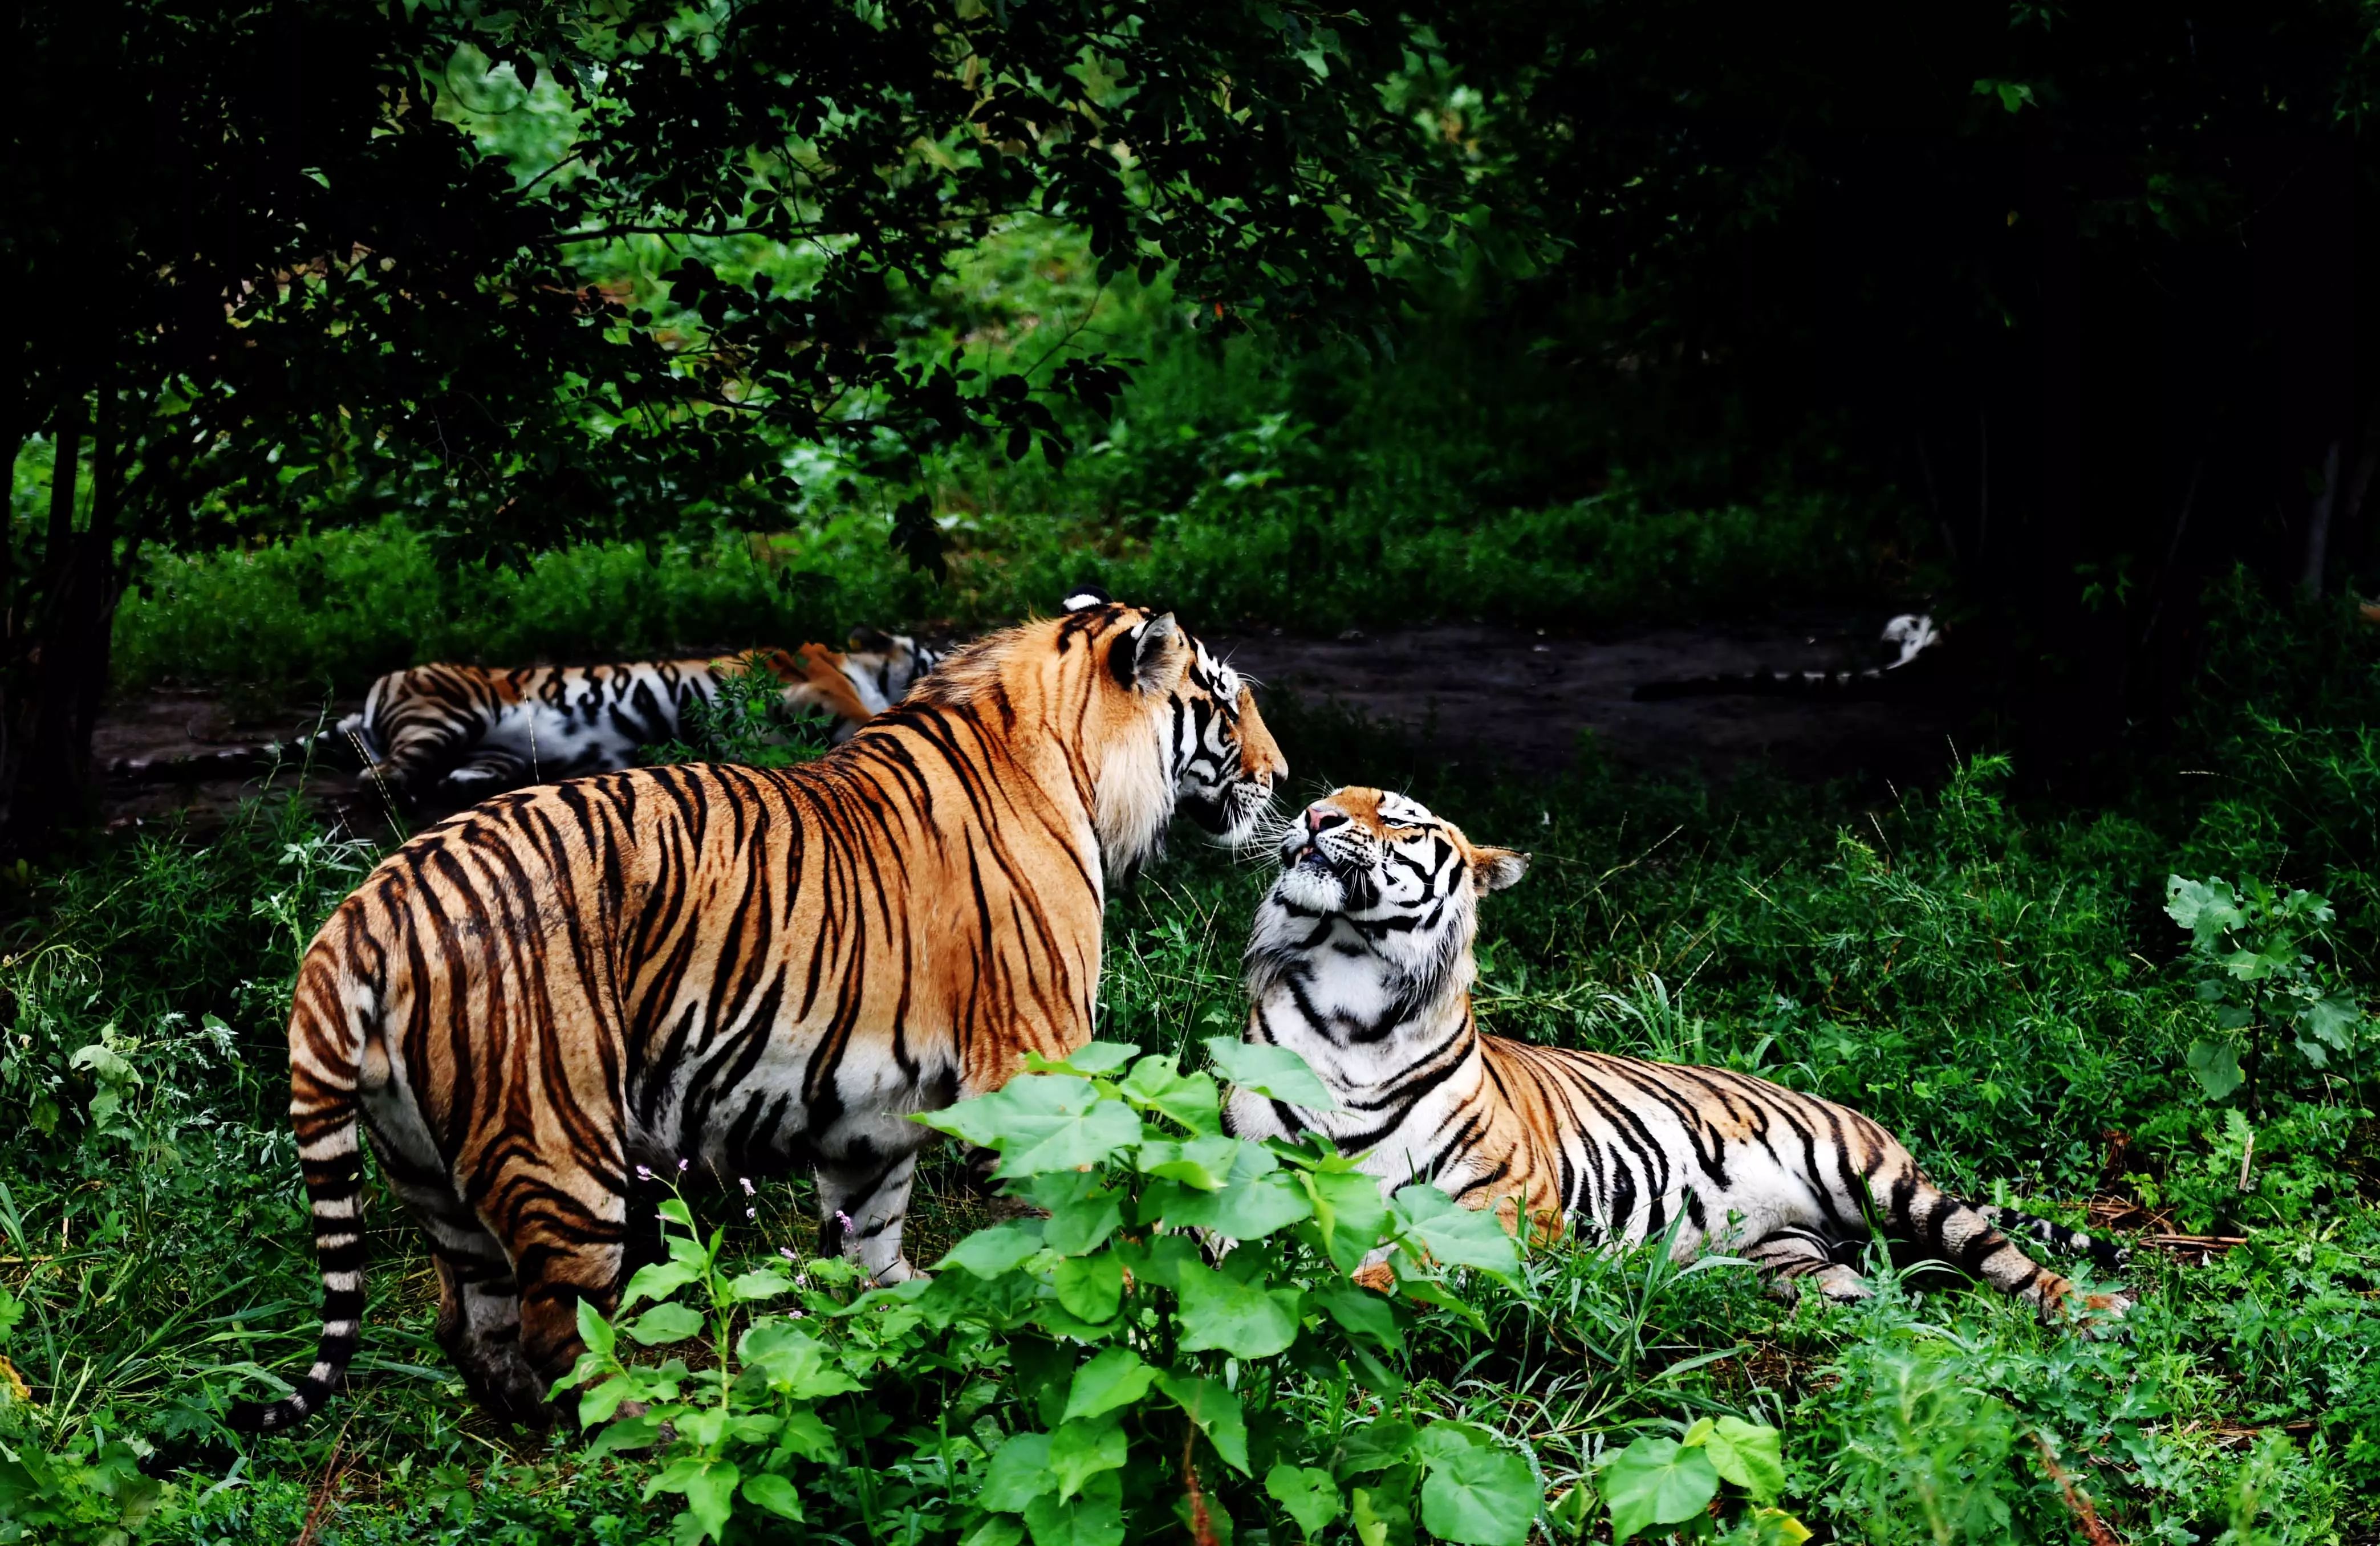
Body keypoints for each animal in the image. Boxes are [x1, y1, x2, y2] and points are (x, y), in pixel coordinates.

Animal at [227, 599, 1285, 1437]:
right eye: (1227, 700)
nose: (1281, 773)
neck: (1068, 753)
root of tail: (369, 905)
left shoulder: (871, 1115)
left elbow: (869, 1241)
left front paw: (906, 1336)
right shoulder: (1037, 1059)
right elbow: (1077, 1221)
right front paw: (1101, 1333)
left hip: (424, 1166)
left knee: (469, 1322)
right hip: (560, 1148)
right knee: (558, 1330)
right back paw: (642, 1432)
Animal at [1219, 784, 2132, 1313]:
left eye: (1399, 821)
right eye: (1328, 796)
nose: (1313, 817)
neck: (1355, 996)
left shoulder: (1506, 1202)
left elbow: (1405, 1260)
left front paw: (1337, 1280)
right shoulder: (1245, 1169)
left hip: (1885, 1184)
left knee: (1999, 1255)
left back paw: (2092, 1314)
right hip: (1784, 1257)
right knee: (1869, 1307)